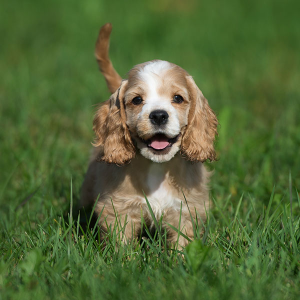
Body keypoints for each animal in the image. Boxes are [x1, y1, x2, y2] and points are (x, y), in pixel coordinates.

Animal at [80, 23, 218, 247]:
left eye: (178, 98)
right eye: (137, 100)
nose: (159, 115)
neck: (158, 167)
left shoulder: (185, 209)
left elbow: (182, 242)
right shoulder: (119, 208)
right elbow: (121, 242)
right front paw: (123, 256)